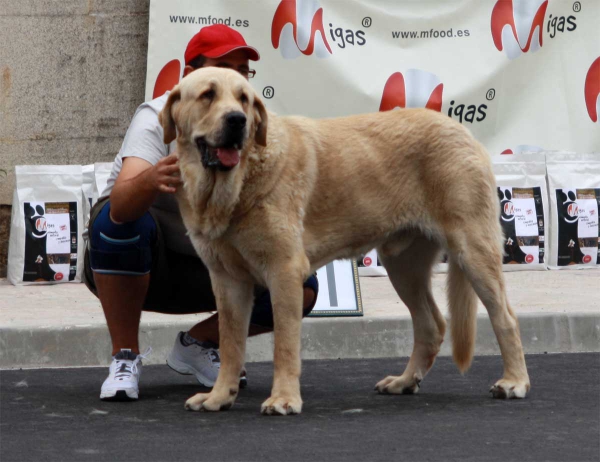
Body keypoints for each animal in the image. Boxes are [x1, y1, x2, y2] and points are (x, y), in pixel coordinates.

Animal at [159, 66, 528, 416]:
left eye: (244, 99)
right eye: (208, 95)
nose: (237, 120)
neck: (234, 185)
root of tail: (460, 129)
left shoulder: (284, 273)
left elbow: (284, 346)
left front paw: (283, 399)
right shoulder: (228, 281)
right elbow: (230, 344)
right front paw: (220, 397)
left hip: (472, 251)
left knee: (505, 317)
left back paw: (514, 382)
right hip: (403, 267)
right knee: (431, 325)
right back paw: (405, 381)